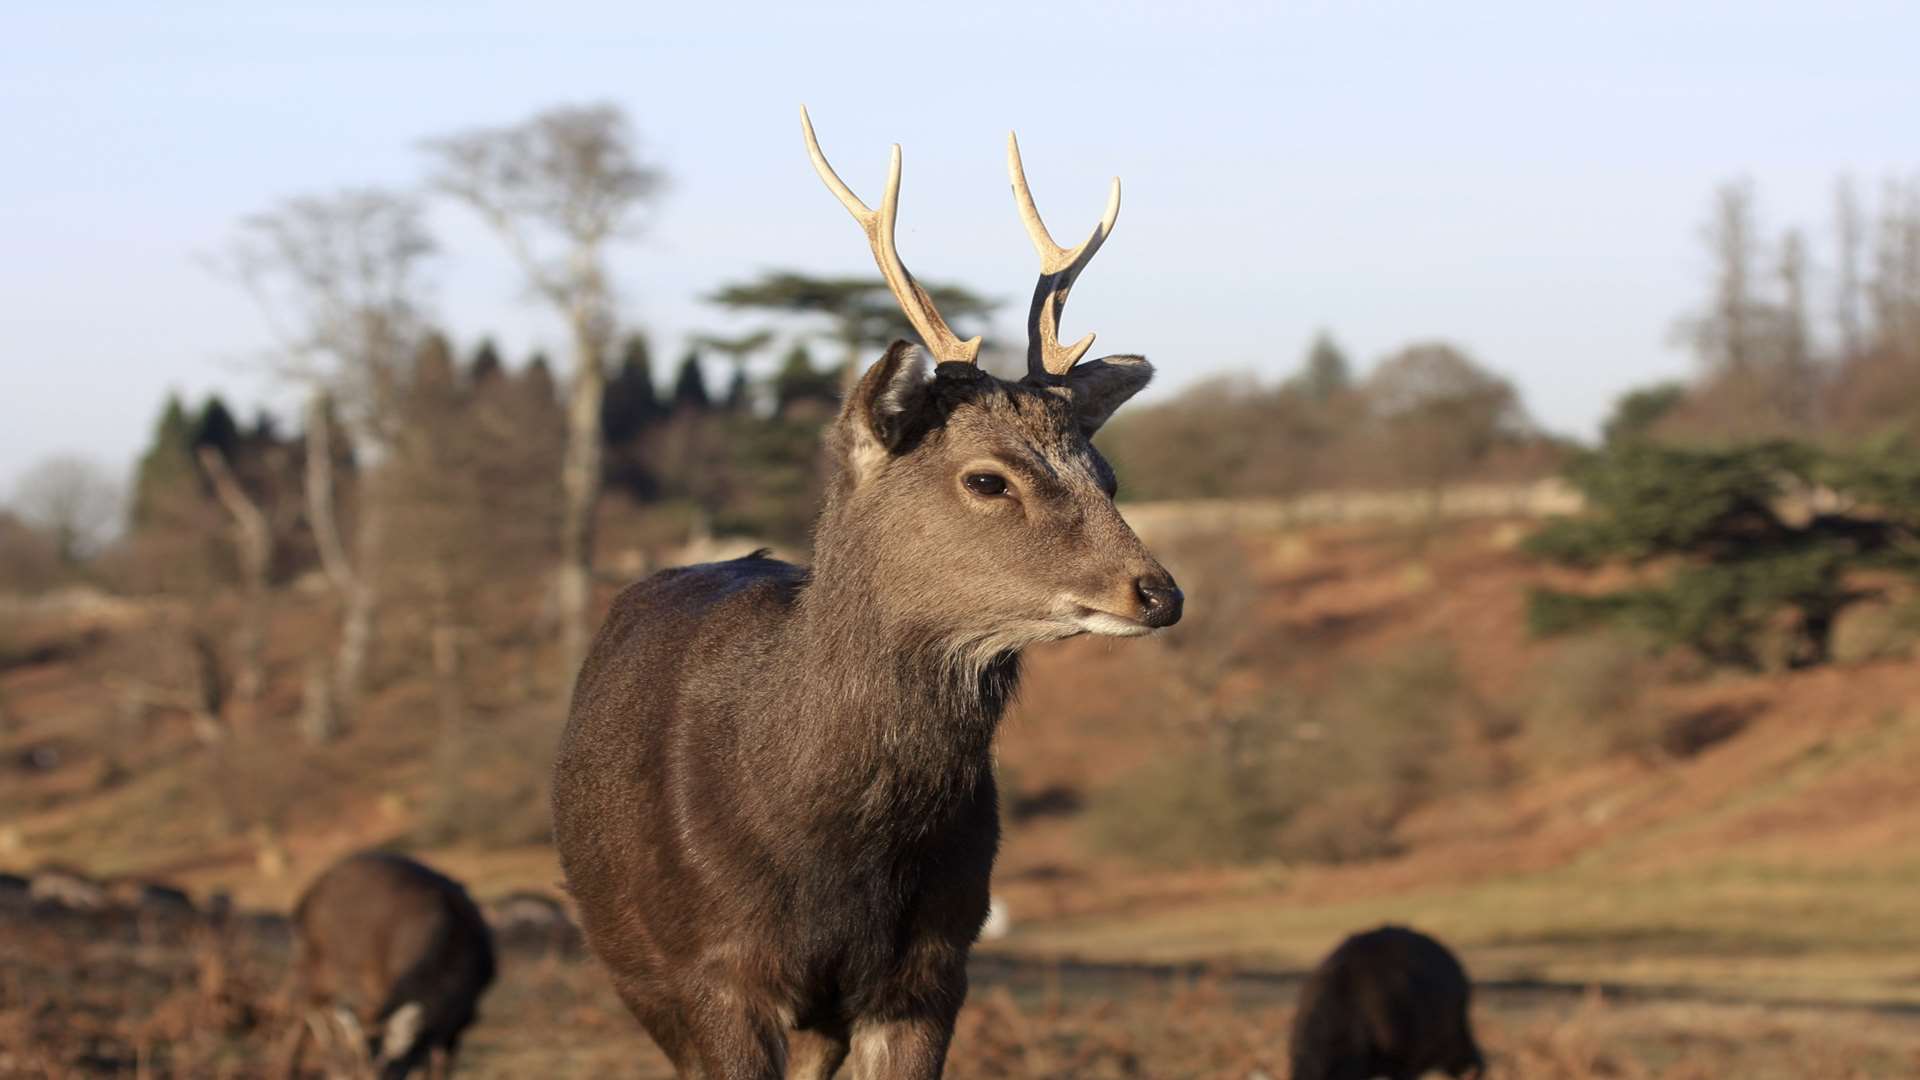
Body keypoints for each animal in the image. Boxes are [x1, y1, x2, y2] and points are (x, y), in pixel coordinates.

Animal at [282, 849, 499, 1076]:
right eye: (350, 1075)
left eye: (379, 1075)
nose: (337, 1071)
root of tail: (303, 899)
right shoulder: (379, 984)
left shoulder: (462, 1019)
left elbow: (437, 1065)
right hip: (309, 961)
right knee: (299, 1009)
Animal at [552, 109, 1182, 1076]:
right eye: (988, 479)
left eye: (1105, 473)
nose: (1156, 592)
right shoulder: (711, 971)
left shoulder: (932, 965)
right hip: (631, 960)